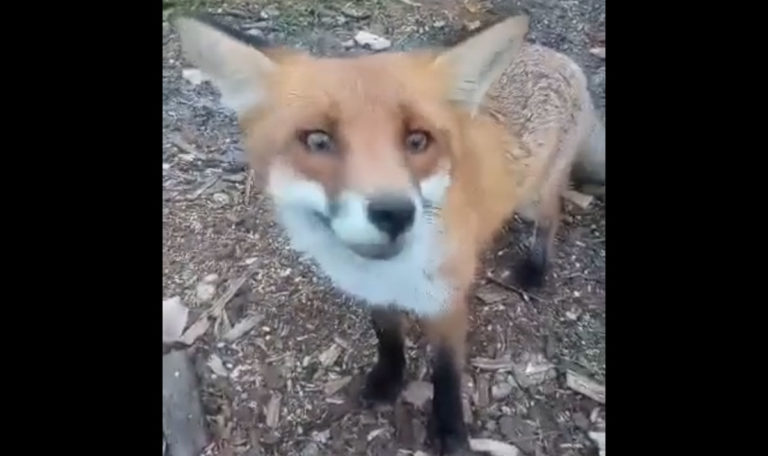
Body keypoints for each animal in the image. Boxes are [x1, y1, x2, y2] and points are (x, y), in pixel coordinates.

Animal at [173, 13, 605, 455]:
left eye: (417, 140)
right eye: (318, 140)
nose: (395, 213)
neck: (392, 275)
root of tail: (557, 56)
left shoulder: (446, 304)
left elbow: (446, 375)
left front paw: (450, 431)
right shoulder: (374, 295)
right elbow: (388, 339)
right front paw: (389, 379)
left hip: (532, 199)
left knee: (552, 215)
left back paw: (535, 268)